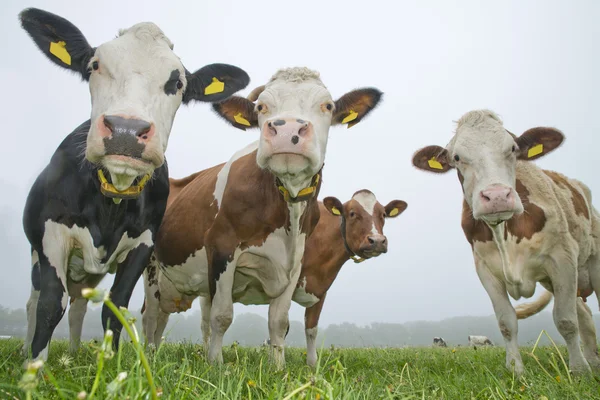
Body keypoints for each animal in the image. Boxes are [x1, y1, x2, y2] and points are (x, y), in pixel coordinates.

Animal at [18, 7, 248, 360]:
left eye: (177, 82)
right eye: (95, 65)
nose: (126, 130)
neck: (111, 199)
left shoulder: (143, 242)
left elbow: (115, 308)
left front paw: (110, 361)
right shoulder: (50, 234)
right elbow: (48, 305)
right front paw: (36, 367)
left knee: (79, 305)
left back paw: (73, 351)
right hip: (36, 254)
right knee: (35, 302)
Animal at [140, 188, 406, 366]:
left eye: (383, 215)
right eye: (351, 213)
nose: (377, 241)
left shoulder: (320, 291)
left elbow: (311, 329)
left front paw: (312, 365)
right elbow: (283, 327)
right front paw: (275, 363)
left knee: (177, 320)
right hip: (152, 270)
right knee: (150, 314)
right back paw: (149, 353)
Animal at [412, 108, 600, 376]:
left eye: (512, 148)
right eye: (457, 157)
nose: (498, 196)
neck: (505, 233)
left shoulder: (562, 258)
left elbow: (565, 319)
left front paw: (578, 372)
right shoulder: (486, 270)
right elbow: (506, 322)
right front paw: (515, 370)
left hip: (592, 260)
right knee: (584, 312)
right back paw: (593, 361)